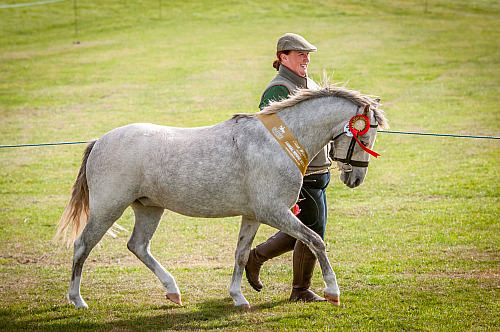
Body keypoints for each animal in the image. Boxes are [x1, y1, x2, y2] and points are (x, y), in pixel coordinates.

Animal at [55, 85, 390, 308]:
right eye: (366, 132)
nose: (355, 178)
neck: (278, 142)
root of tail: (100, 141)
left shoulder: (253, 216)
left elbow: (241, 254)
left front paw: (239, 297)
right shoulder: (274, 212)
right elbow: (316, 240)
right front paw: (333, 291)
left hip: (149, 209)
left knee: (138, 246)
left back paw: (173, 291)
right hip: (108, 209)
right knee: (82, 246)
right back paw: (77, 300)